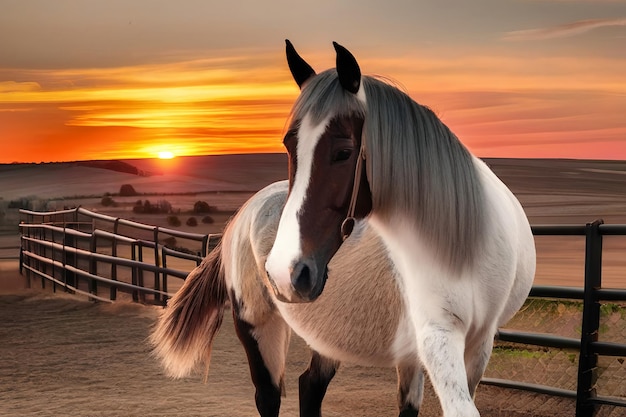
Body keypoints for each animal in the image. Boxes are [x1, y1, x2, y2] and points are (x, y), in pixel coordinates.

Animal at [262, 39, 532, 416]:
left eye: (343, 152)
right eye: (290, 146)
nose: (284, 272)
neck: (459, 244)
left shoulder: (480, 342)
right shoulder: (437, 332)